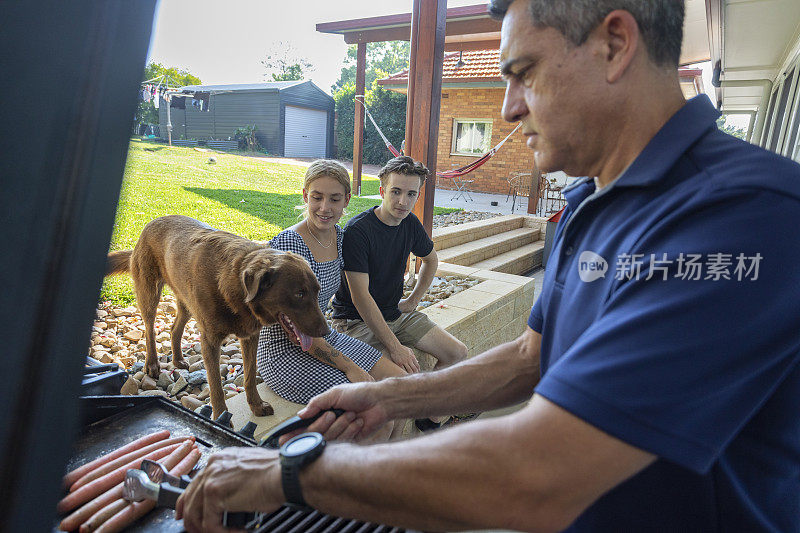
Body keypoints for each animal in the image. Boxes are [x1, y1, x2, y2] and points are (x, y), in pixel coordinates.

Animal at [107, 216, 328, 420]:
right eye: (299, 294)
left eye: (317, 291)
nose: (325, 332)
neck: (237, 286)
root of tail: (152, 222)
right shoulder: (210, 341)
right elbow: (216, 387)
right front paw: (222, 417)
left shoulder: (250, 336)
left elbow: (249, 375)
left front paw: (256, 406)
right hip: (149, 292)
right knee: (150, 329)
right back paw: (152, 364)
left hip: (186, 302)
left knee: (174, 329)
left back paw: (178, 360)